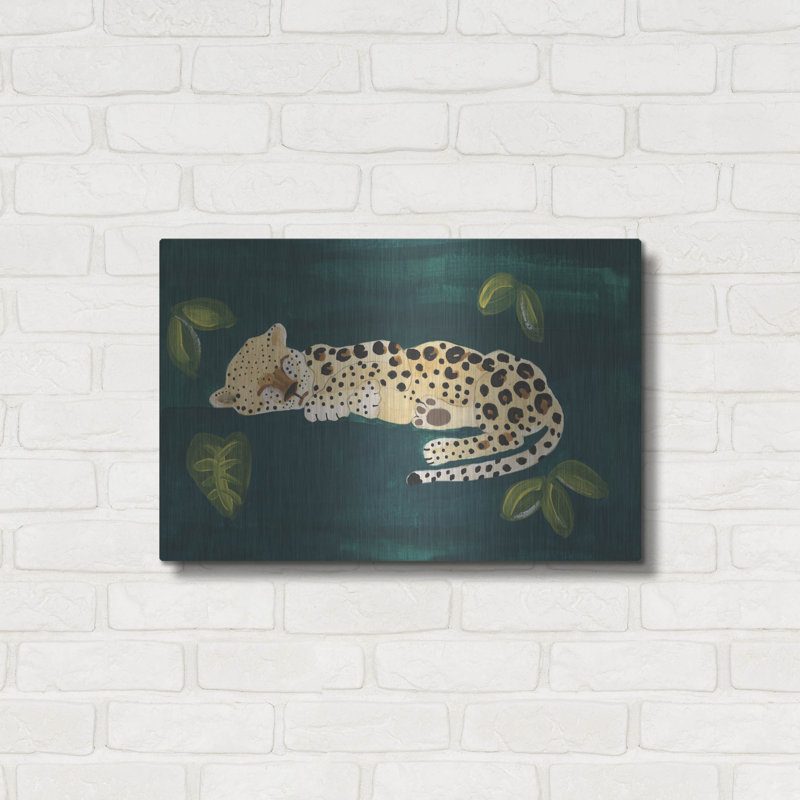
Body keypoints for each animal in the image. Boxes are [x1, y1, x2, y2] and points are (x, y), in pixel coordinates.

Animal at [209, 323, 564, 485]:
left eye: (285, 365)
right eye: (263, 392)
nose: (294, 391)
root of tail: (549, 396)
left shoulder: (386, 353)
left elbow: (352, 371)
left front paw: (328, 400)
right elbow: (361, 400)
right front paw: (346, 404)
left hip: (494, 378)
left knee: (507, 436)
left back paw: (438, 449)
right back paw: (431, 416)